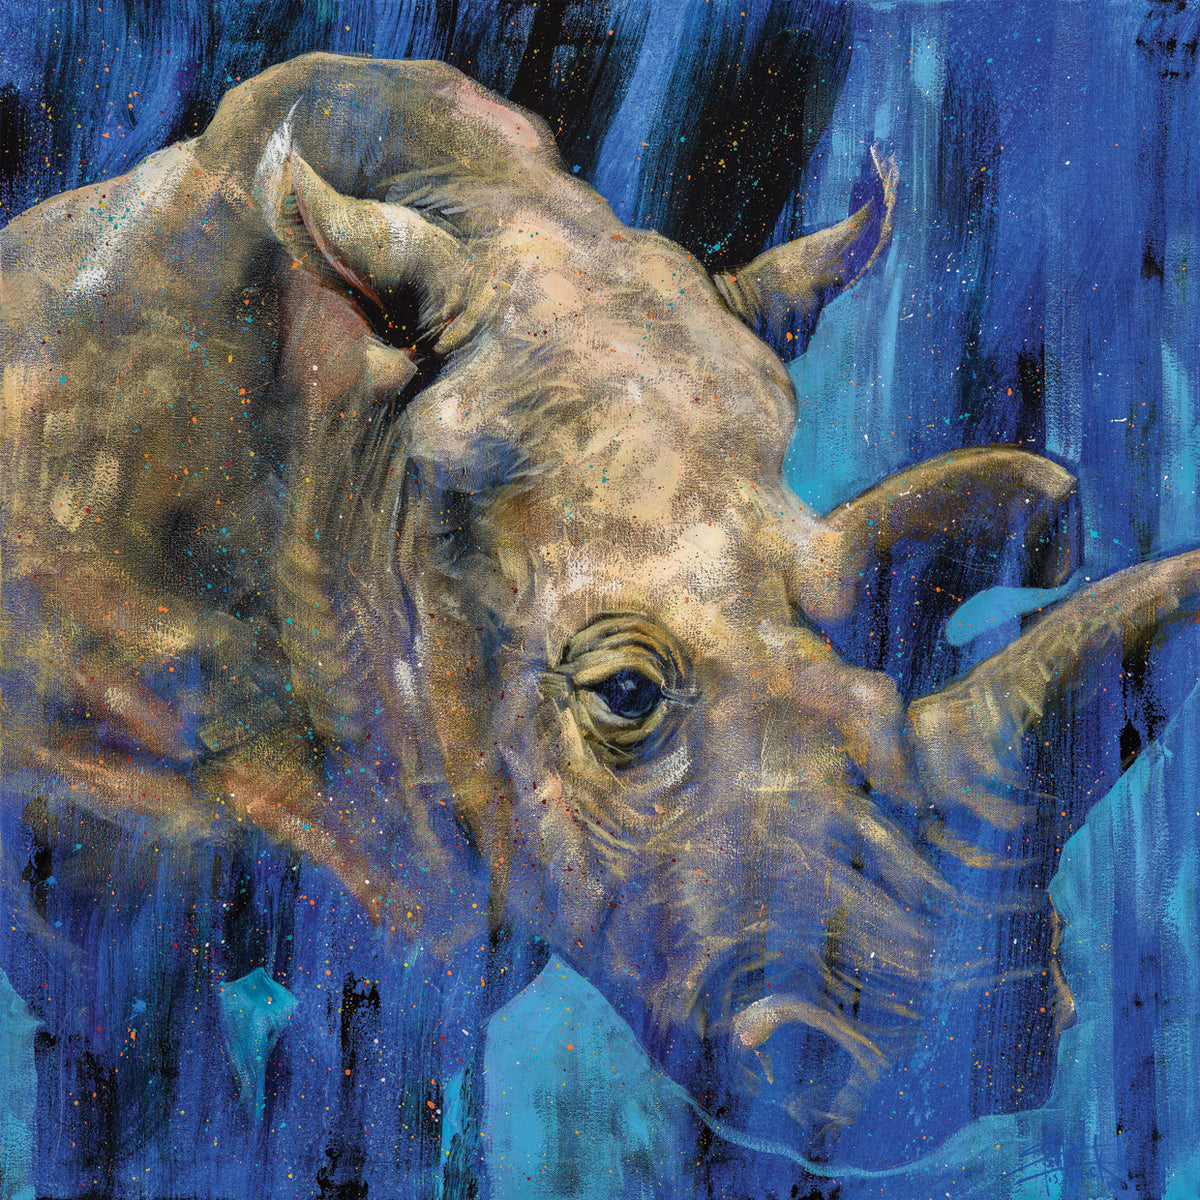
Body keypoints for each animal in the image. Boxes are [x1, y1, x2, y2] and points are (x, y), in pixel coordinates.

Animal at [3, 53, 1198, 1164]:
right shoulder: (94, 856)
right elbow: (140, 1071)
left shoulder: (462, 869)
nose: (958, 1068)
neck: (361, 459)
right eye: (623, 694)